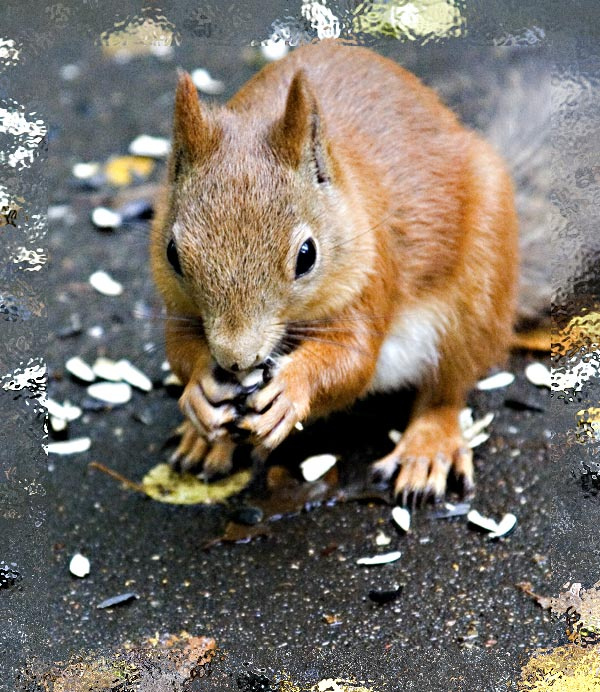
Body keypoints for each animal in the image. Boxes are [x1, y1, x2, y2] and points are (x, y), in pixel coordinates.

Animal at [151, 40, 540, 503]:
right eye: (173, 254)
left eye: (306, 255)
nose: (234, 358)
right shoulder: (177, 306)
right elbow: (178, 351)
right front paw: (199, 391)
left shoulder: (372, 277)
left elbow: (352, 361)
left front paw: (291, 388)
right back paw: (206, 442)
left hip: (477, 296)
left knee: (447, 389)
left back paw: (427, 449)